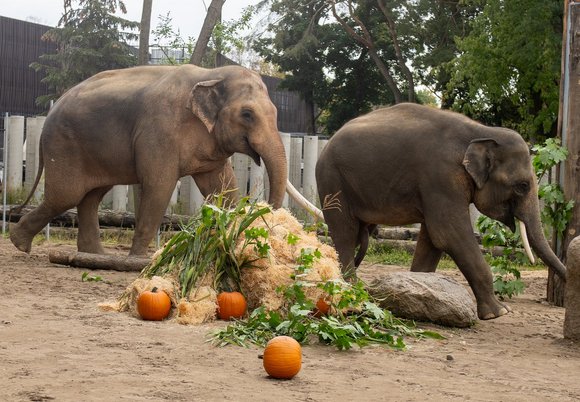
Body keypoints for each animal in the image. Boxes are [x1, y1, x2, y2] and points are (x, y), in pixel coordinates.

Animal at [9, 64, 290, 256]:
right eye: (247, 114)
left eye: (276, 113)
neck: (211, 74)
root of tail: (48, 113)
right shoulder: (159, 132)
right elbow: (159, 186)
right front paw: (138, 259)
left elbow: (223, 188)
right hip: (64, 145)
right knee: (66, 196)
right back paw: (19, 244)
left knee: (90, 197)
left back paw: (94, 255)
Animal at [312, 103, 568, 320]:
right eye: (522, 186)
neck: (481, 131)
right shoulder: (441, 176)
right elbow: (448, 233)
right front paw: (500, 313)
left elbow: (433, 239)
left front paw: (417, 295)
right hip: (332, 181)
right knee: (345, 234)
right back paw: (352, 293)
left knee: (357, 235)